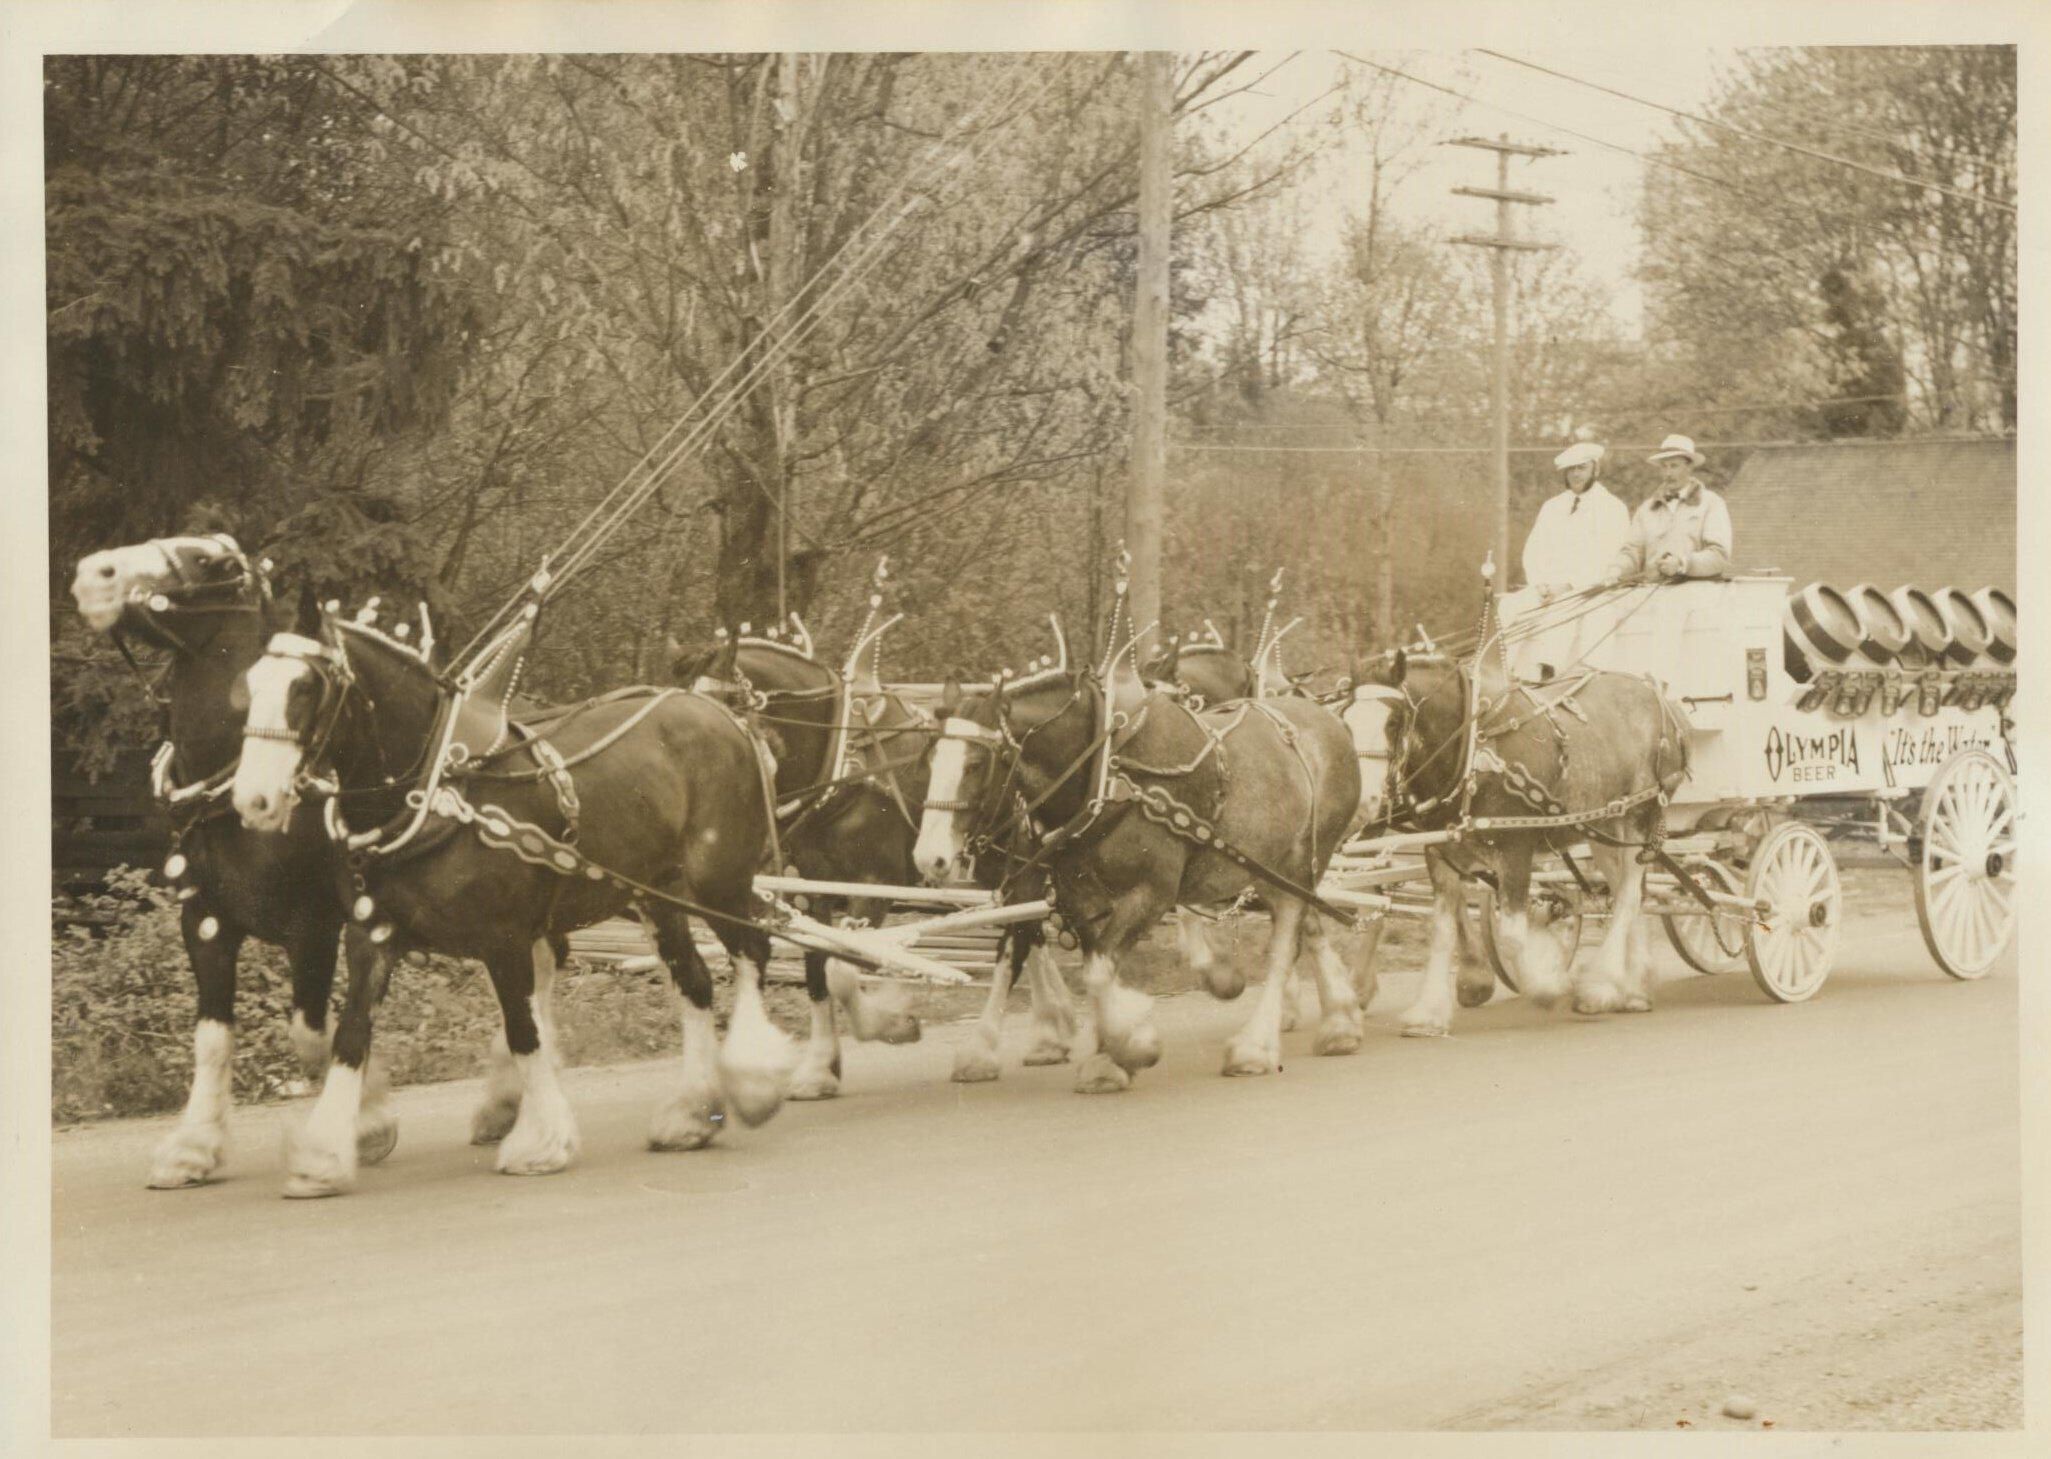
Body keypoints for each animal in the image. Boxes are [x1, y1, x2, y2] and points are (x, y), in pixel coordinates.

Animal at [68, 533, 403, 1188]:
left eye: (213, 563)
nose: (96, 573)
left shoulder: (314, 926)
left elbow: (312, 1032)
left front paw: (368, 1121)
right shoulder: (205, 923)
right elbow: (213, 1039)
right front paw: (194, 1147)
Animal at [230, 607, 792, 1197]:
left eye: (305, 687)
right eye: (251, 685)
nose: (253, 799)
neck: (433, 791)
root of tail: (723, 714)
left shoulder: (505, 939)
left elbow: (524, 1033)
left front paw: (541, 1142)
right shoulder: (372, 934)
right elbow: (351, 1034)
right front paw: (322, 1157)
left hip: (719, 883)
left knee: (752, 952)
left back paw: (753, 1080)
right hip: (658, 896)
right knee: (695, 983)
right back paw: (692, 1115)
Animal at [676, 629, 1078, 1088]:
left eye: (723, 707)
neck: (846, 766)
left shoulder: (873, 884)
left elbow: (842, 969)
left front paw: (889, 1024)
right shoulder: (815, 888)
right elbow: (817, 967)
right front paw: (820, 1067)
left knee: (1021, 936)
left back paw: (1012, 1041)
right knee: (1030, 930)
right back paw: (1052, 1032)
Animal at [912, 649, 1363, 1090]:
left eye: (975, 763)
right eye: (930, 758)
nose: (929, 857)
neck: (1110, 774)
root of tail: (1334, 723)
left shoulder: (1152, 892)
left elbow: (1097, 971)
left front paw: (1133, 1044)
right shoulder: (1080, 896)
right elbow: (1096, 967)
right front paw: (1108, 1055)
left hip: (1301, 864)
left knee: (1285, 945)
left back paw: (1254, 1048)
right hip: (1269, 870)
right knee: (1309, 927)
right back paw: (1340, 1023)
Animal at [1345, 650, 1690, 1034]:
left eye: (1392, 723)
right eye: (1345, 720)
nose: (1363, 803)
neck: (1474, 750)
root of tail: (1661, 698)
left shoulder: (1515, 849)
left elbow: (1511, 936)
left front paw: (1548, 985)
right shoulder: (1441, 853)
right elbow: (1442, 931)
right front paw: (1429, 1013)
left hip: (1638, 815)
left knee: (1628, 894)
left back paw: (1600, 987)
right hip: (1603, 827)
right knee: (1630, 891)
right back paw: (1634, 990)